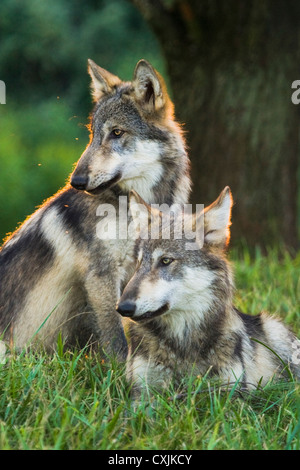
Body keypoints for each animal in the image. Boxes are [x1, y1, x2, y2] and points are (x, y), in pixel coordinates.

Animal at [0, 57, 191, 356]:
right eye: (92, 135)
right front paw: (121, 368)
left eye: (116, 133)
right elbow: (115, 334)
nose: (76, 181)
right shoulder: (101, 275)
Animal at [115, 187, 300, 392]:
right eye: (139, 263)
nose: (122, 308)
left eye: (165, 260)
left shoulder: (231, 390)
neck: (183, 340)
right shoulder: (141, 388)